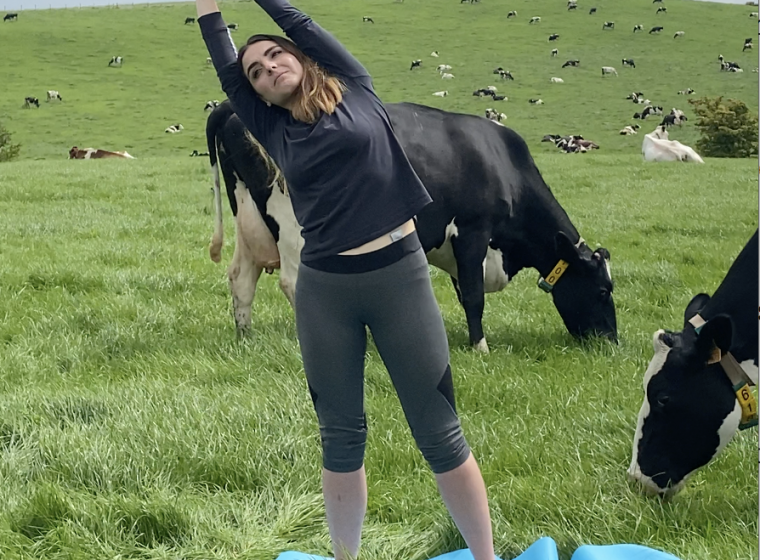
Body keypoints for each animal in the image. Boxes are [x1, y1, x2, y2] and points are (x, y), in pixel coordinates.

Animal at [204, 100, 618, 350]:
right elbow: (473, 295)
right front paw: (480, 347)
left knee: (241, 277)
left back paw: (245, 337)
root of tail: (229, 107)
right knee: (293, 281)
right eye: (602, 291)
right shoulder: (473, 231)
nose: (612, 342)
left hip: (250, 219)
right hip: (292, 224)